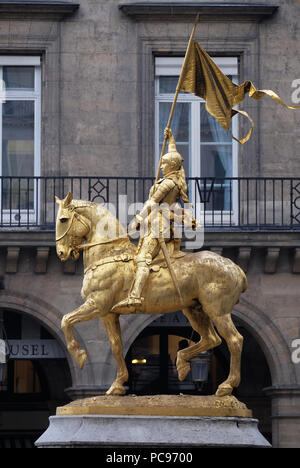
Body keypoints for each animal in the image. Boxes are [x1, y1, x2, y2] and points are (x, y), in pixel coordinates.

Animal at [55, 192, 247, 396]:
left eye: (63, 219)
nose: (61, 253)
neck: (110, 254)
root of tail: (234, 266)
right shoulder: (108, 314)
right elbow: (116, 346)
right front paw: (117, 385)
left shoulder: (96, 305)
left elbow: (66, 320)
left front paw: (79, 355)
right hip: (195, 310)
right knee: (211, 339)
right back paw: (182, 364)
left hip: (217, 311)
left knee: (234, 340)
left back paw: (226, 385)